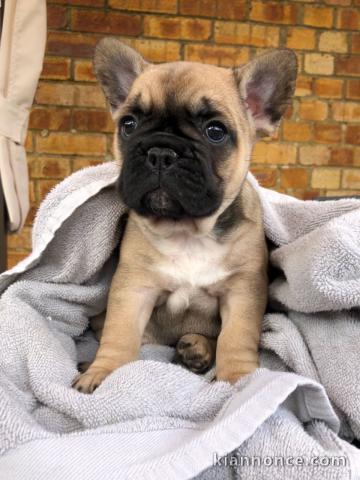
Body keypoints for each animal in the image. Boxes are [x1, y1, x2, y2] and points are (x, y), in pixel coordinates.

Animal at [71, 38, 296, 394]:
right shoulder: (133, 286)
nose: (161, 151)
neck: (187, 232)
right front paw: (104, 372)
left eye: (215, 131)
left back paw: (199, 349)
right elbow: (119, 332)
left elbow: (236, 337)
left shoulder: (243, 290)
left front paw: (238, 379)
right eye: (129, 125)